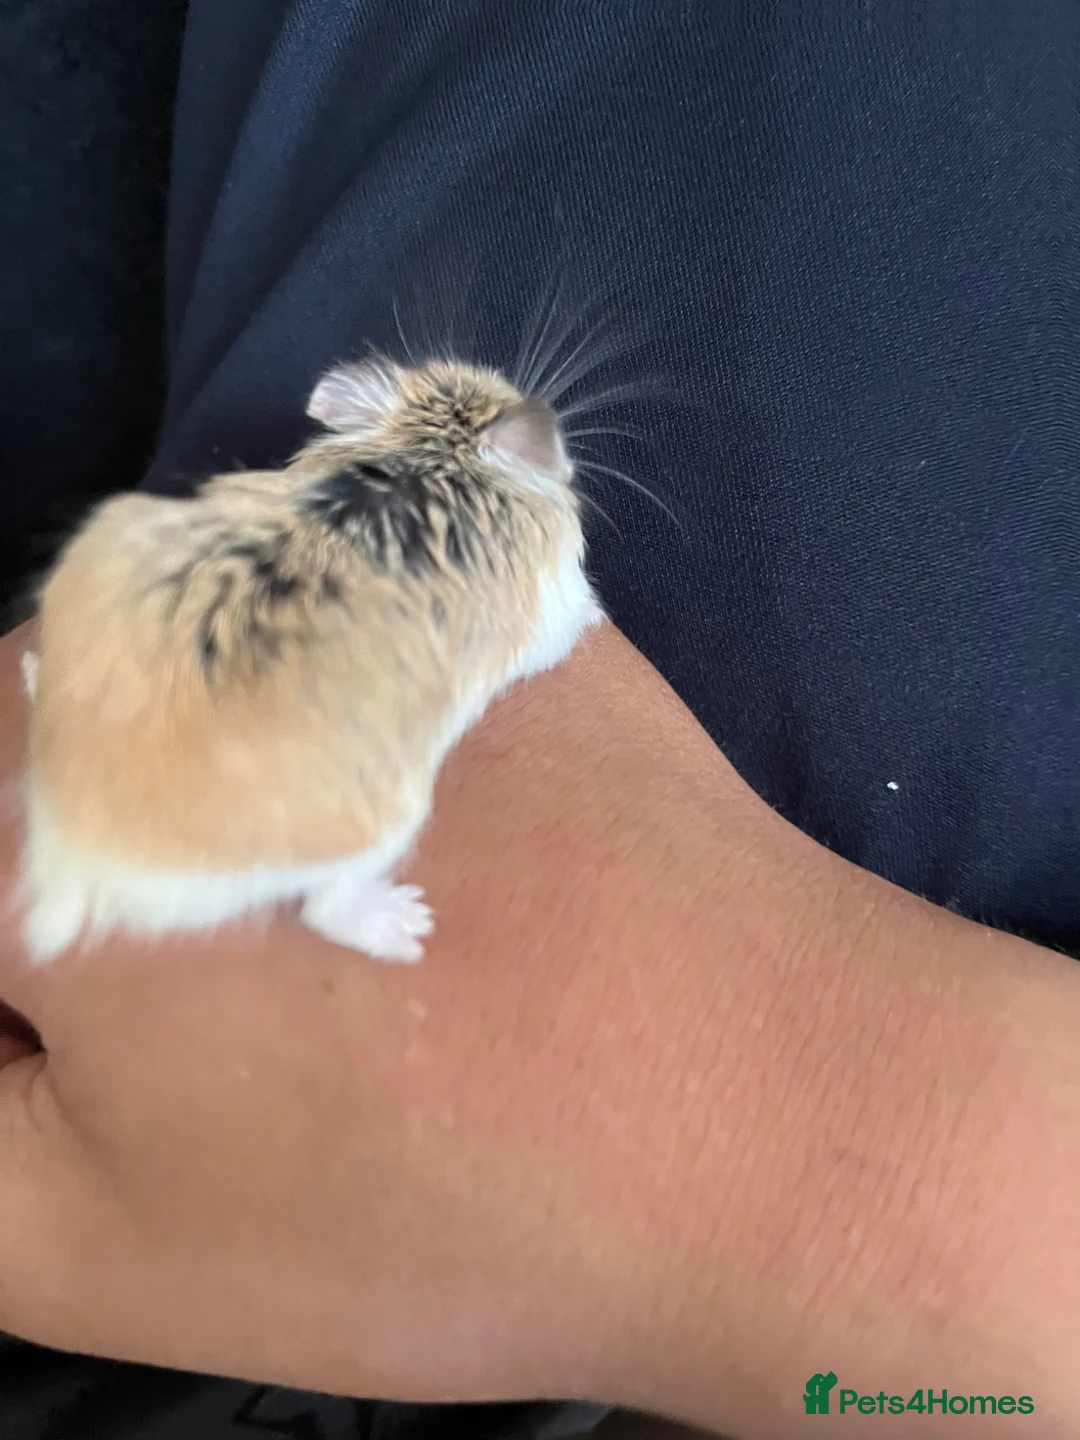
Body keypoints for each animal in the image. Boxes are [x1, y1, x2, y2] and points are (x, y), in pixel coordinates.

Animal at [19, 356, 603, 964]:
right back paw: (407, 926)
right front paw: (598, 615)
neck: (430, 451)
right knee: (325, 910)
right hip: (388, 823)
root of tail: (77, 858)